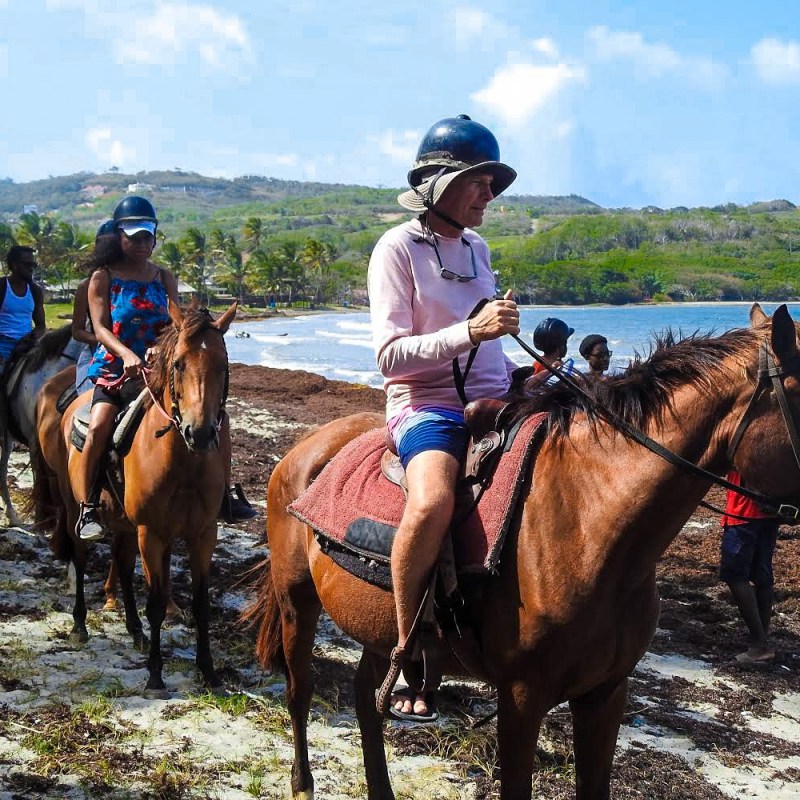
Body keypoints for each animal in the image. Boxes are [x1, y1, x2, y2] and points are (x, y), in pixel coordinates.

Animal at [33, 301, 237, 696]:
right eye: (178, 364)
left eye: (223, 365)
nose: (201, 433)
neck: (182, 461)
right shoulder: (152, 533)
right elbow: (156, 603)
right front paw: (155, 675)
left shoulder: (203, 534)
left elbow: (201, 605)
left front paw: (208, 672)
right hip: (75, 506)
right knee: (81, 558)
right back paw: (80, 625)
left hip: (126, 525)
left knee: (124, 567)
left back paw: (135, 630)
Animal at [246, 303, 800, 800]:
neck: (589, 522)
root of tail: (305, 450)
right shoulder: (521, 698)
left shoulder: (606, 694)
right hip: (298, 602)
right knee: (300, 693)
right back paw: (302, 784)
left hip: (378, 626)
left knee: (366, 702)